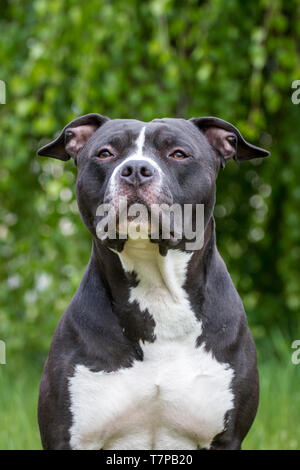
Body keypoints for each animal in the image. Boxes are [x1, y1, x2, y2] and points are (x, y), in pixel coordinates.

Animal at [36, 115, 268, 450]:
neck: (158, 293)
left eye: (178, 154)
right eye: (105, 153)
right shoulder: (67, 437)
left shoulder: (227, 437)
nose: (135, 169)